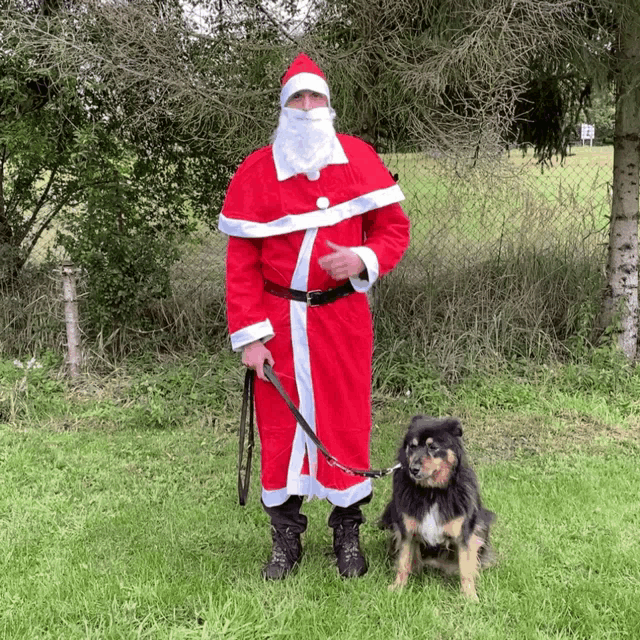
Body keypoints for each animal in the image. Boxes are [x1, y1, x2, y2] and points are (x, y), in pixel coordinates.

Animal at [380, 416, 496, 600]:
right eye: (412, 446)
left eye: (432, 447)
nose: (413, 469)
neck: (431, 492)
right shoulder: (406, 531)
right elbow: (403, 562)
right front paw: (397, 588)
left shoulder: (464, 535)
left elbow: (466, 569)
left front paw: (470, 597)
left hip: (482, 525)